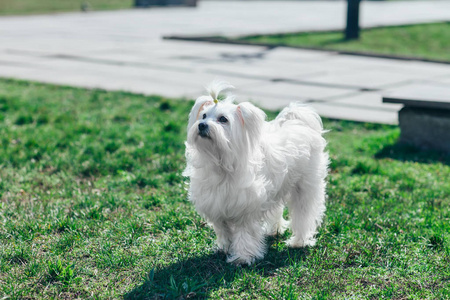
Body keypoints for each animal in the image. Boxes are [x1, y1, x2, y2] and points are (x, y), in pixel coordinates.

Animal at [185, 81, 328, 264]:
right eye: (203, 116)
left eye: (223, 119)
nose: (202, 125)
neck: (221, 161)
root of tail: (299, 124)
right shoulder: (216, 205)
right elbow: (223, 230)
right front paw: (224, 248)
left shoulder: (245, 209)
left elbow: (244, 234)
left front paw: (243, 257)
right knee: (277, 209)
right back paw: (274, 230)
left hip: (305, 188)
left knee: (304, 215)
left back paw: (299, 242)